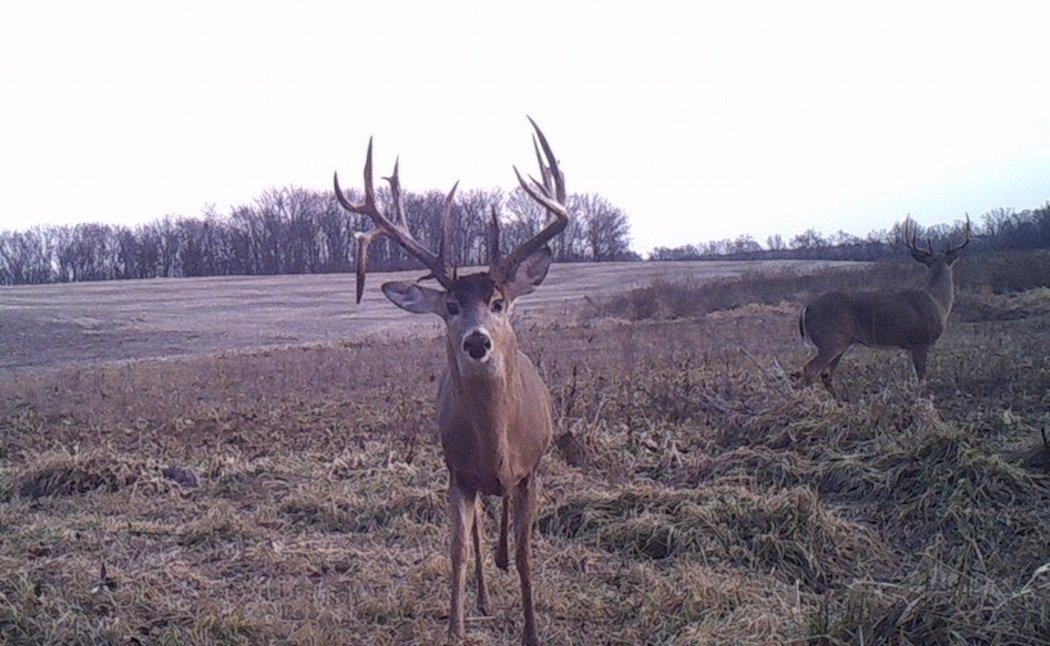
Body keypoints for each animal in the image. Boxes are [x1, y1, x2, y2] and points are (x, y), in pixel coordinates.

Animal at [333, 118, 567, 645]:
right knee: (480, 529)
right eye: (451, 306)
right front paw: (456, 627)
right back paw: (483, 593)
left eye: (499, 302)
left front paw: (531, 630)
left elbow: (526, 553)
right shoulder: (458, 473)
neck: (499, 444)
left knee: (503, 520)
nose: (477, 342)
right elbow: (458, 548)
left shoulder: (532, 470)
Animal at [797, 216, 971, 399]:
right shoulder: (919, 341)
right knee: (810, 370)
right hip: (830, 339)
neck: (937, 302)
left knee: (826, 374)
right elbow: (922, 379)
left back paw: (839, 402)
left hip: (840, 342)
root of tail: (807, 308)